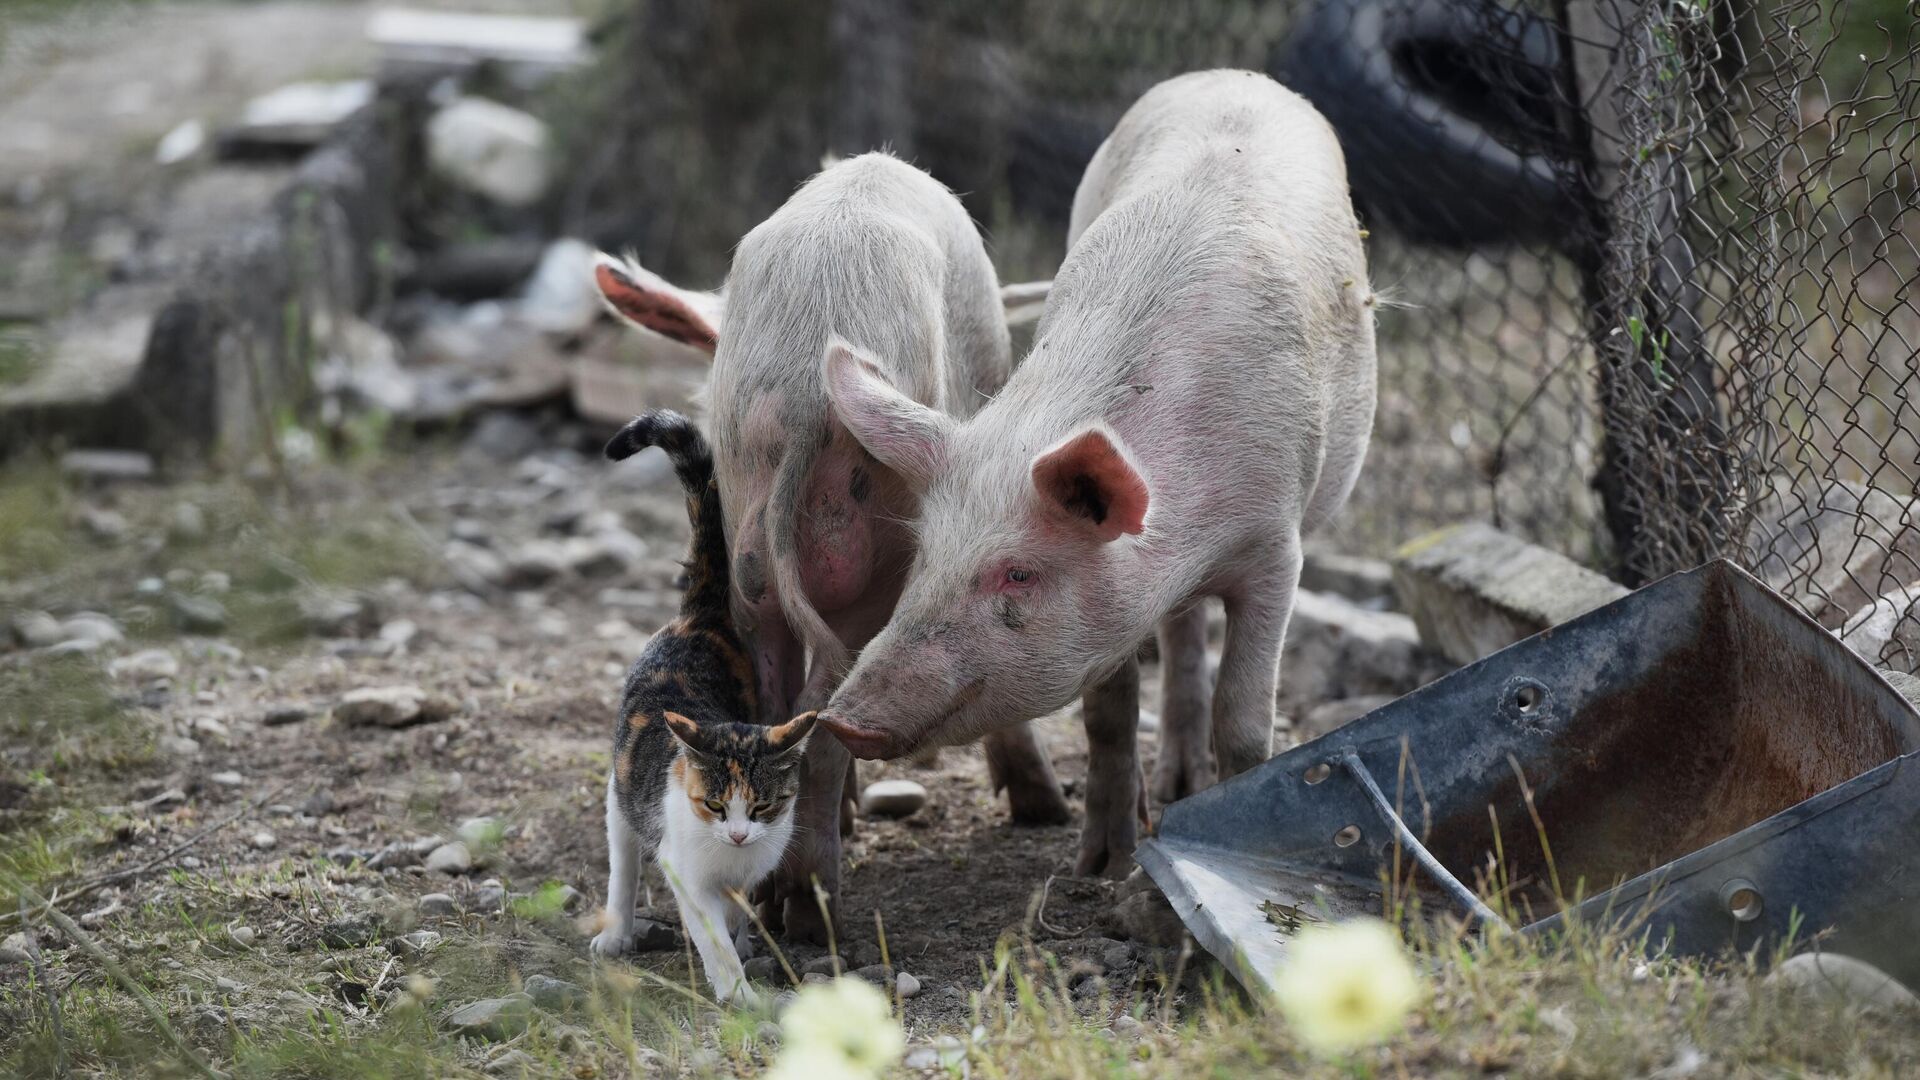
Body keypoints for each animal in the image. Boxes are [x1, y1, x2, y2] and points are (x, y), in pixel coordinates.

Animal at [591, 148, 1075, 933]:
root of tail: (801, 400)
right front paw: (1043, 810)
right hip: (873, 558)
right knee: (823, 714)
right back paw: (813, 912)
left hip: (754, 555)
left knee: (778, 696)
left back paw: (775, 893)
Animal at [591, 407, 817, 1006]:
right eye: (715, 805)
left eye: (762, 807)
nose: (738, 834)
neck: (729, 857)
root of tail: (700, 615)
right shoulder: (686, 871)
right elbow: (710, 932)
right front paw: (737, 992)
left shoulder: (755, 861)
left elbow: (738, 914)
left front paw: (743, 944)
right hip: (622, 792)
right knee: (623, 860)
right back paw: (617, 932)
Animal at [817, 69, 1374, 876]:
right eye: (924, 557)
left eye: (1018, 572)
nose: (843, 720)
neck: (1188, 536)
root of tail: (1227, 73)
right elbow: (1108, 714)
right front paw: (1101, 865)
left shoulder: (1278, 546)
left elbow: (1245, 720)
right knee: (1180, 634)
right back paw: (1171, 786)